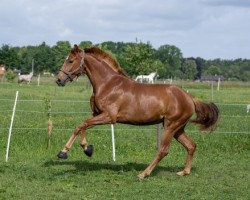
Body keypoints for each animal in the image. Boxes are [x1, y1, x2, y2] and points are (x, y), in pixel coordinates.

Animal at [55, 45, 219, 180]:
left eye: (70, 61)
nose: (58, 80)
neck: (108, 84)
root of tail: (190, 98)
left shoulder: (109, 117)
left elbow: (82, 125)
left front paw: (67, 152)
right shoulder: (97, 115)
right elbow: (82, 126)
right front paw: (85, 149)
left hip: (171, 126)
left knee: (163, 150)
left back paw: (143, 174)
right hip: (178, 129)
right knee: (191, 145)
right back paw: (184, 172)